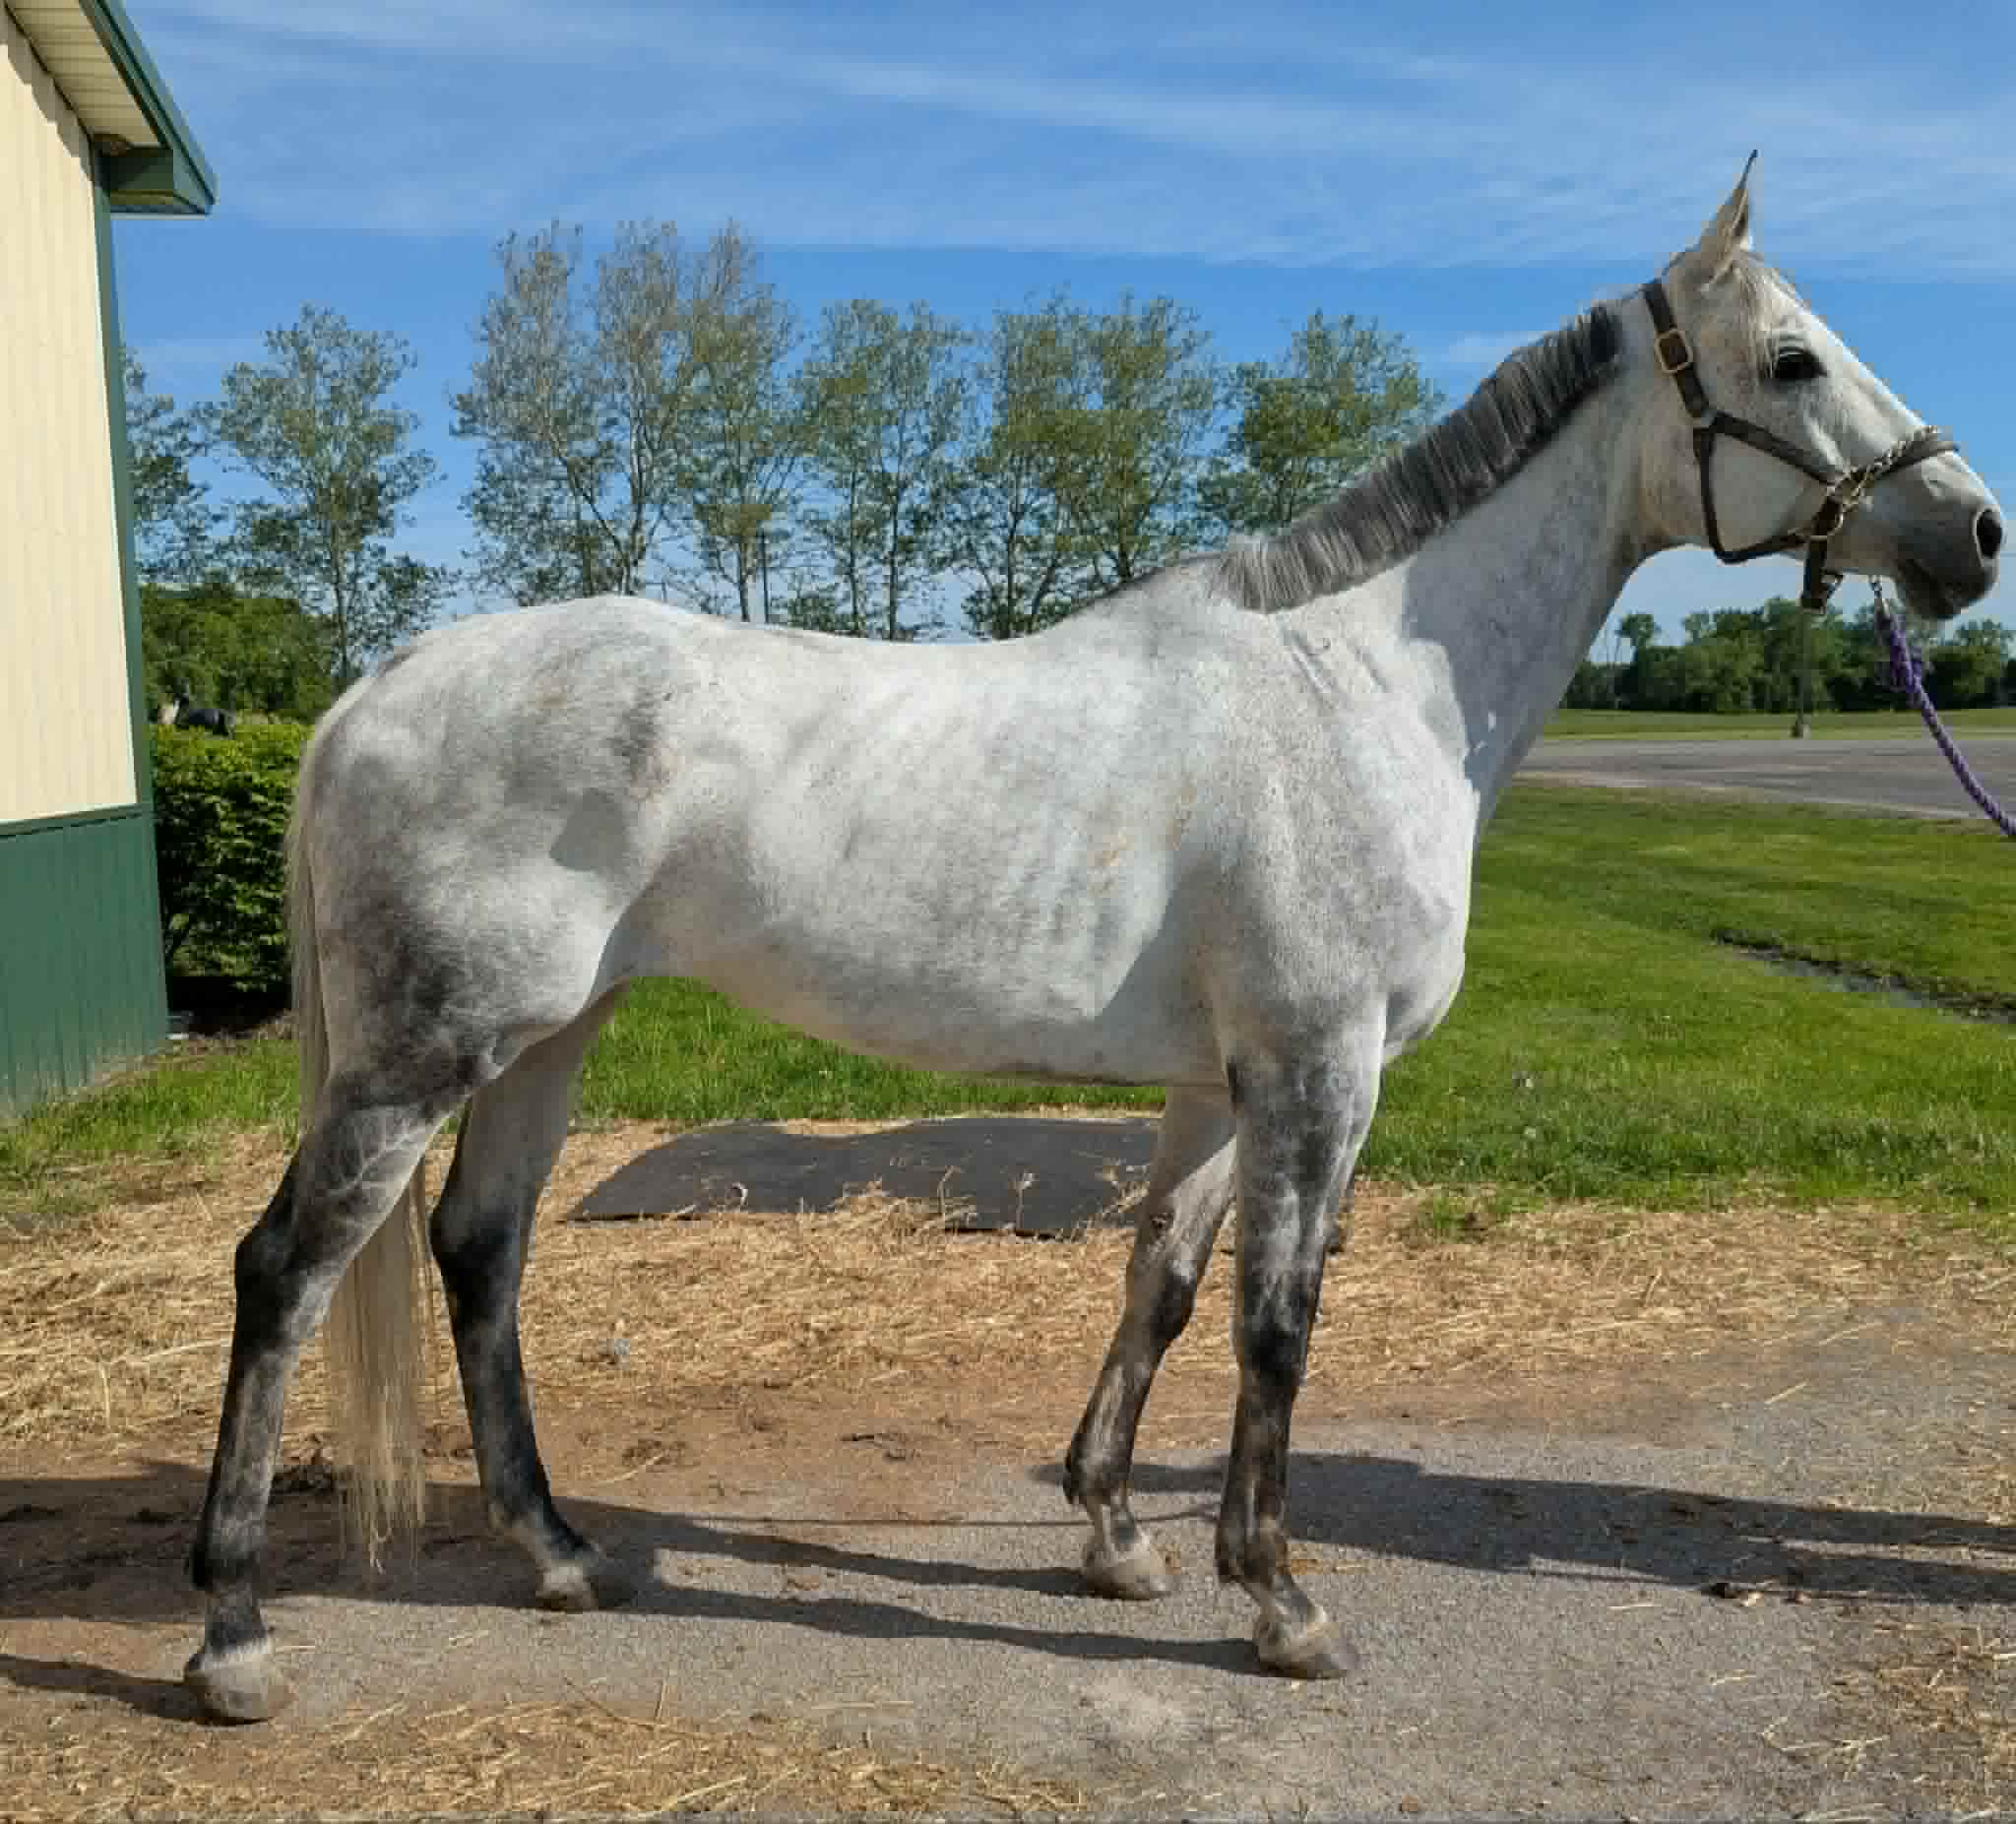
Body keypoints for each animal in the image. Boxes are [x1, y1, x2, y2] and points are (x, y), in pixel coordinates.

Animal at [182, 164, 2002, 1723]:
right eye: (1790, 356)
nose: (1971, 532)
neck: (1363, 683)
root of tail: (377, 687)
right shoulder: (1320, 1072)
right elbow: (1281, 1322)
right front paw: (1281, 1601)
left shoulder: (1219, 1083)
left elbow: (1167, 1288)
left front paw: (1117, 1536)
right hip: (421, 1056)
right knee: (285, 1271)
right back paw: (232, 1631)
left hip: (547, 1037)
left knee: (479, 1254)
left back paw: (559, 1554)